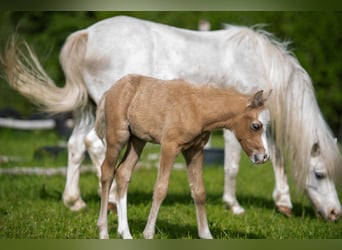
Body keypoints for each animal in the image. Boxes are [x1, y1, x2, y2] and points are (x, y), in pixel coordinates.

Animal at [3, 15, 342, 221]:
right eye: (320, 174)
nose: (335, 214)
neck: (257, 62)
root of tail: (86, 34)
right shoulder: (237, 124)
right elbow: (233, 165)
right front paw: (234, 205)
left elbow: (277, 158)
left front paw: (283, 202)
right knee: (95, 147)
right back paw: (110, 201)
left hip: (89, 108)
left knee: (75, 146)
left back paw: (75, 201)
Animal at [95, 74, 272, 238]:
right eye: (256, 126)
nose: (264, 157)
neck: (198, 109)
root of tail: (110, 90)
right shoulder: (169, 146)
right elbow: (161, 188)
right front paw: (148, 233)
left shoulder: (195, 150)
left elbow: (199, 191)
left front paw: (206, 235)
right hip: (118, 136)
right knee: (107, 172)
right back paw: (103, 231)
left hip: (137, 140)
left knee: (123, 172)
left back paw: (125, 233)